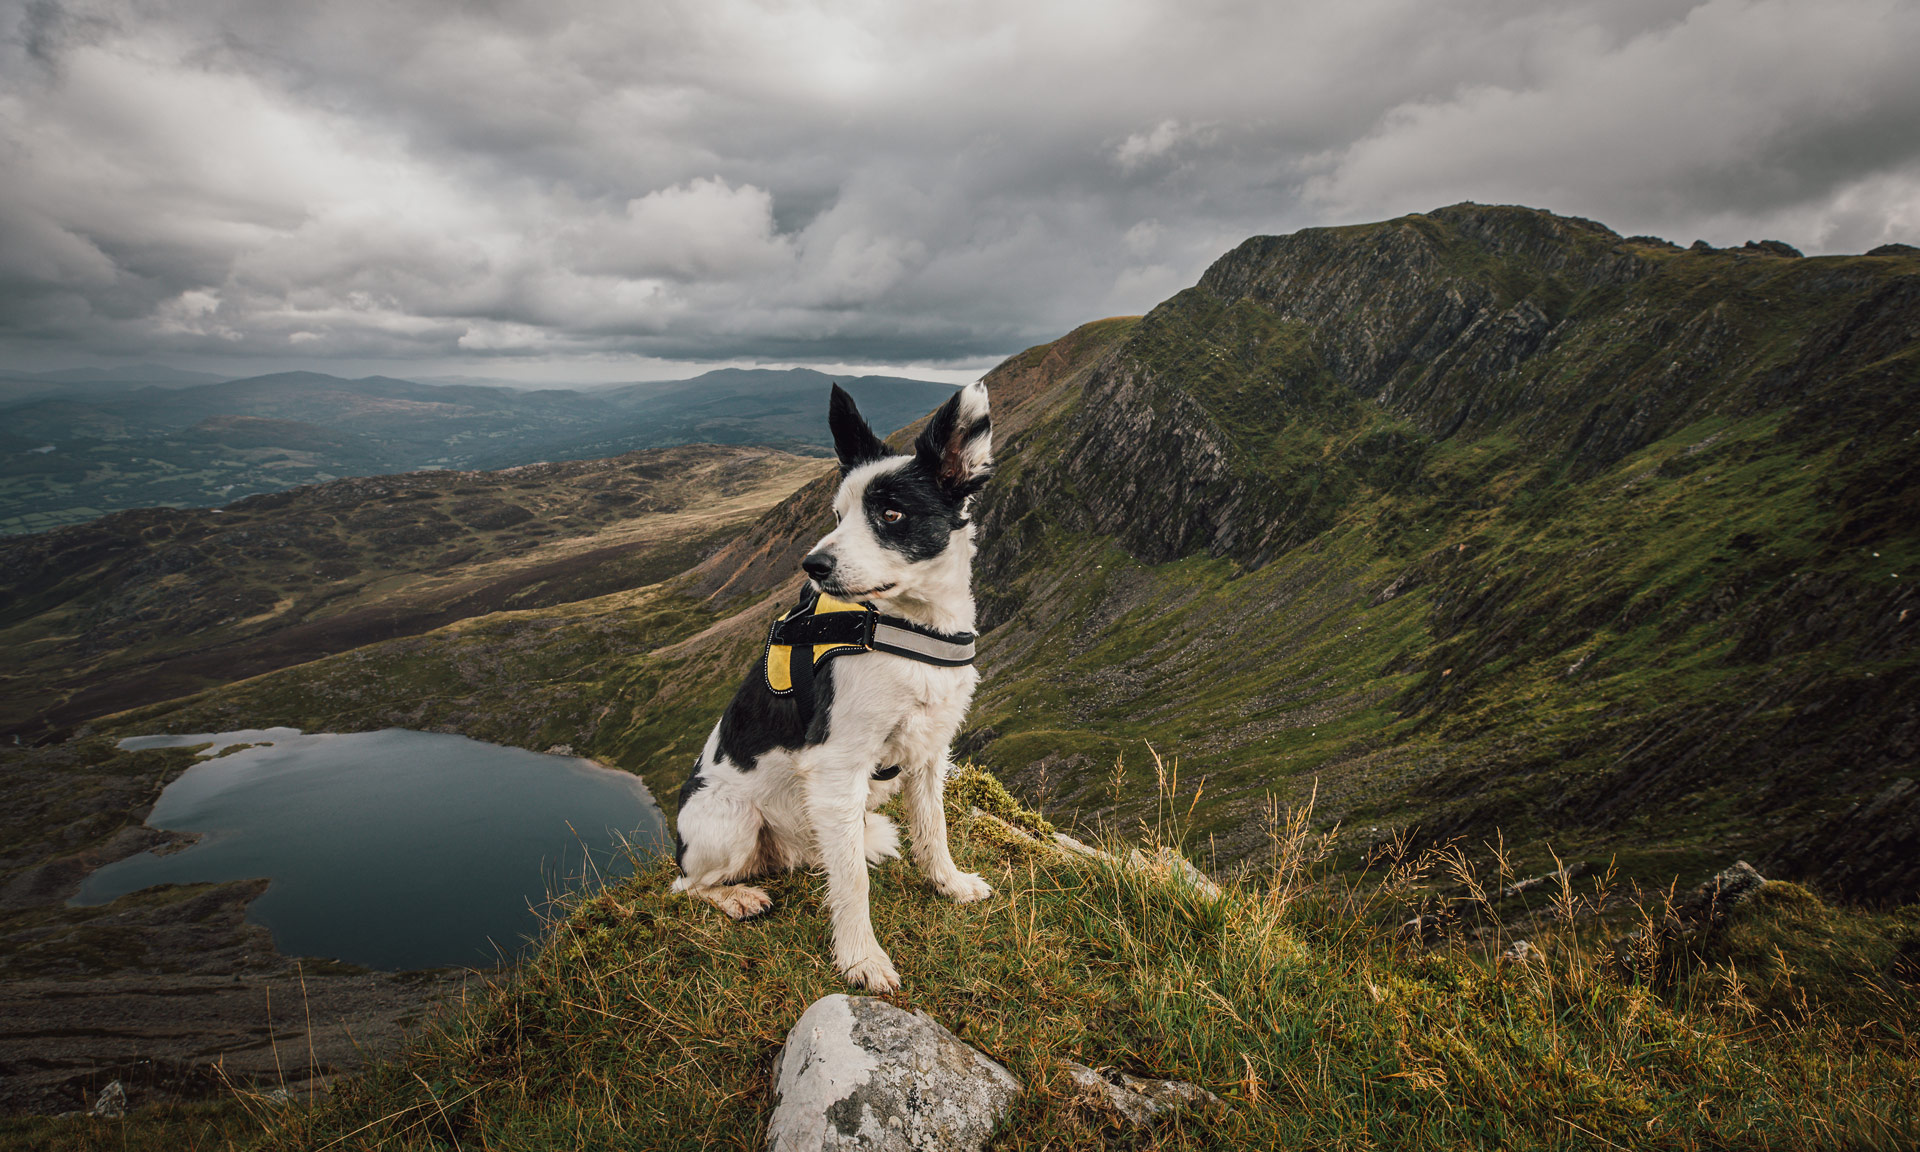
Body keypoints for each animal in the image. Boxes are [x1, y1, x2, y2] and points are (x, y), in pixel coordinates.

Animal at [675, 380, 998, 990]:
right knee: (686, 885)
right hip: (730, 822)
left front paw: (949, 884)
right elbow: (851, 884)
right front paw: (861, 959)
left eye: (891, 513)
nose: (813, 565)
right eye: (838, 514)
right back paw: (738, 897)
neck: (904, 627)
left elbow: (933, 831)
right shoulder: (836, 766)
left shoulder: (928, 754)